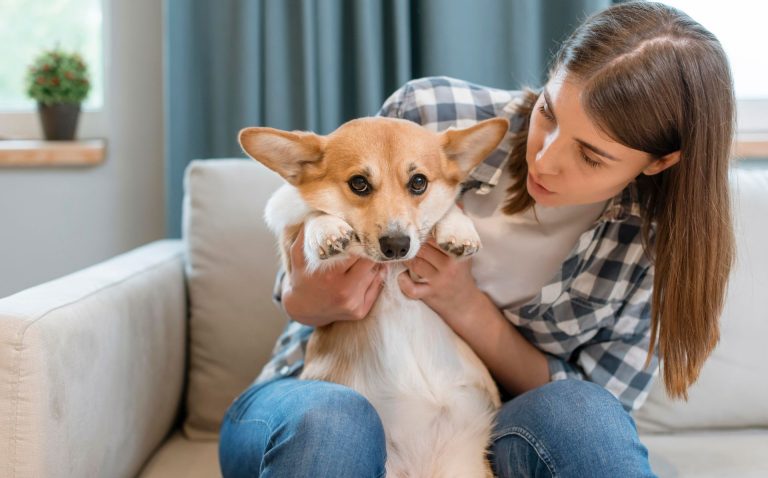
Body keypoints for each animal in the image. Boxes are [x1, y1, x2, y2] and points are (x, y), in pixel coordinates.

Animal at [237, 116, 508, 478]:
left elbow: (449, 207)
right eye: (359, 184)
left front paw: (458, 229)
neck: (391, 272)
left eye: (419, 182)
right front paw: (327, 229)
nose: (397, 245)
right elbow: (309, 212)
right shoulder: (289, 240)